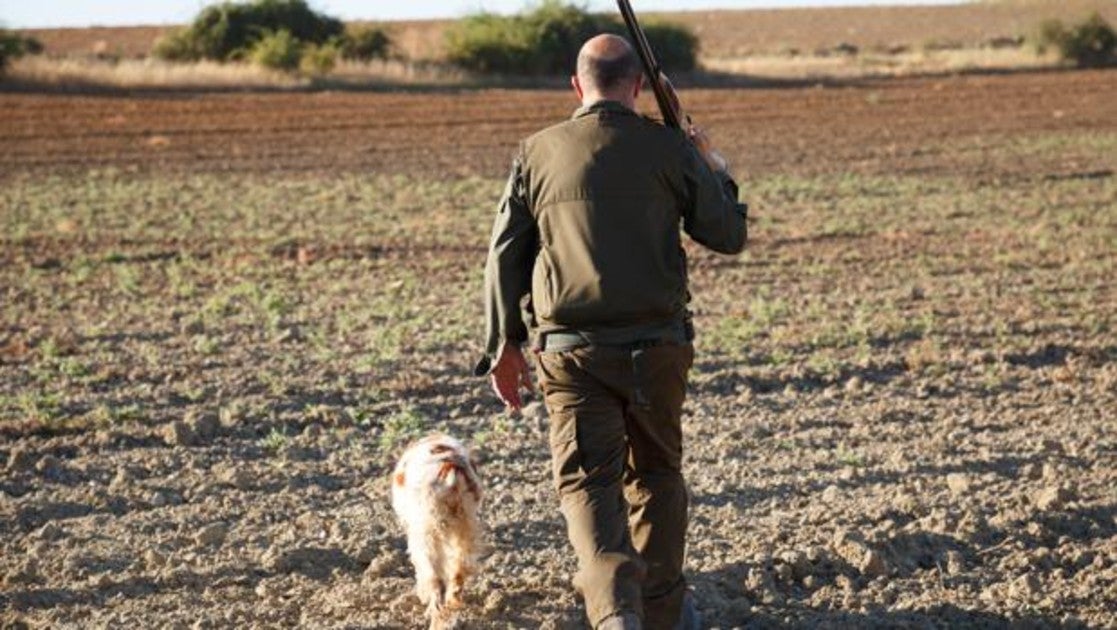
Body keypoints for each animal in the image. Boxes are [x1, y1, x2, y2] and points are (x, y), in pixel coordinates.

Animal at [390, 435, 482, 625]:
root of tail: (451, 468)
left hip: (426, 533)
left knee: (434, 577)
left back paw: (434, 614)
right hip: (466, 526)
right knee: (459, 568)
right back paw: (453, 602)